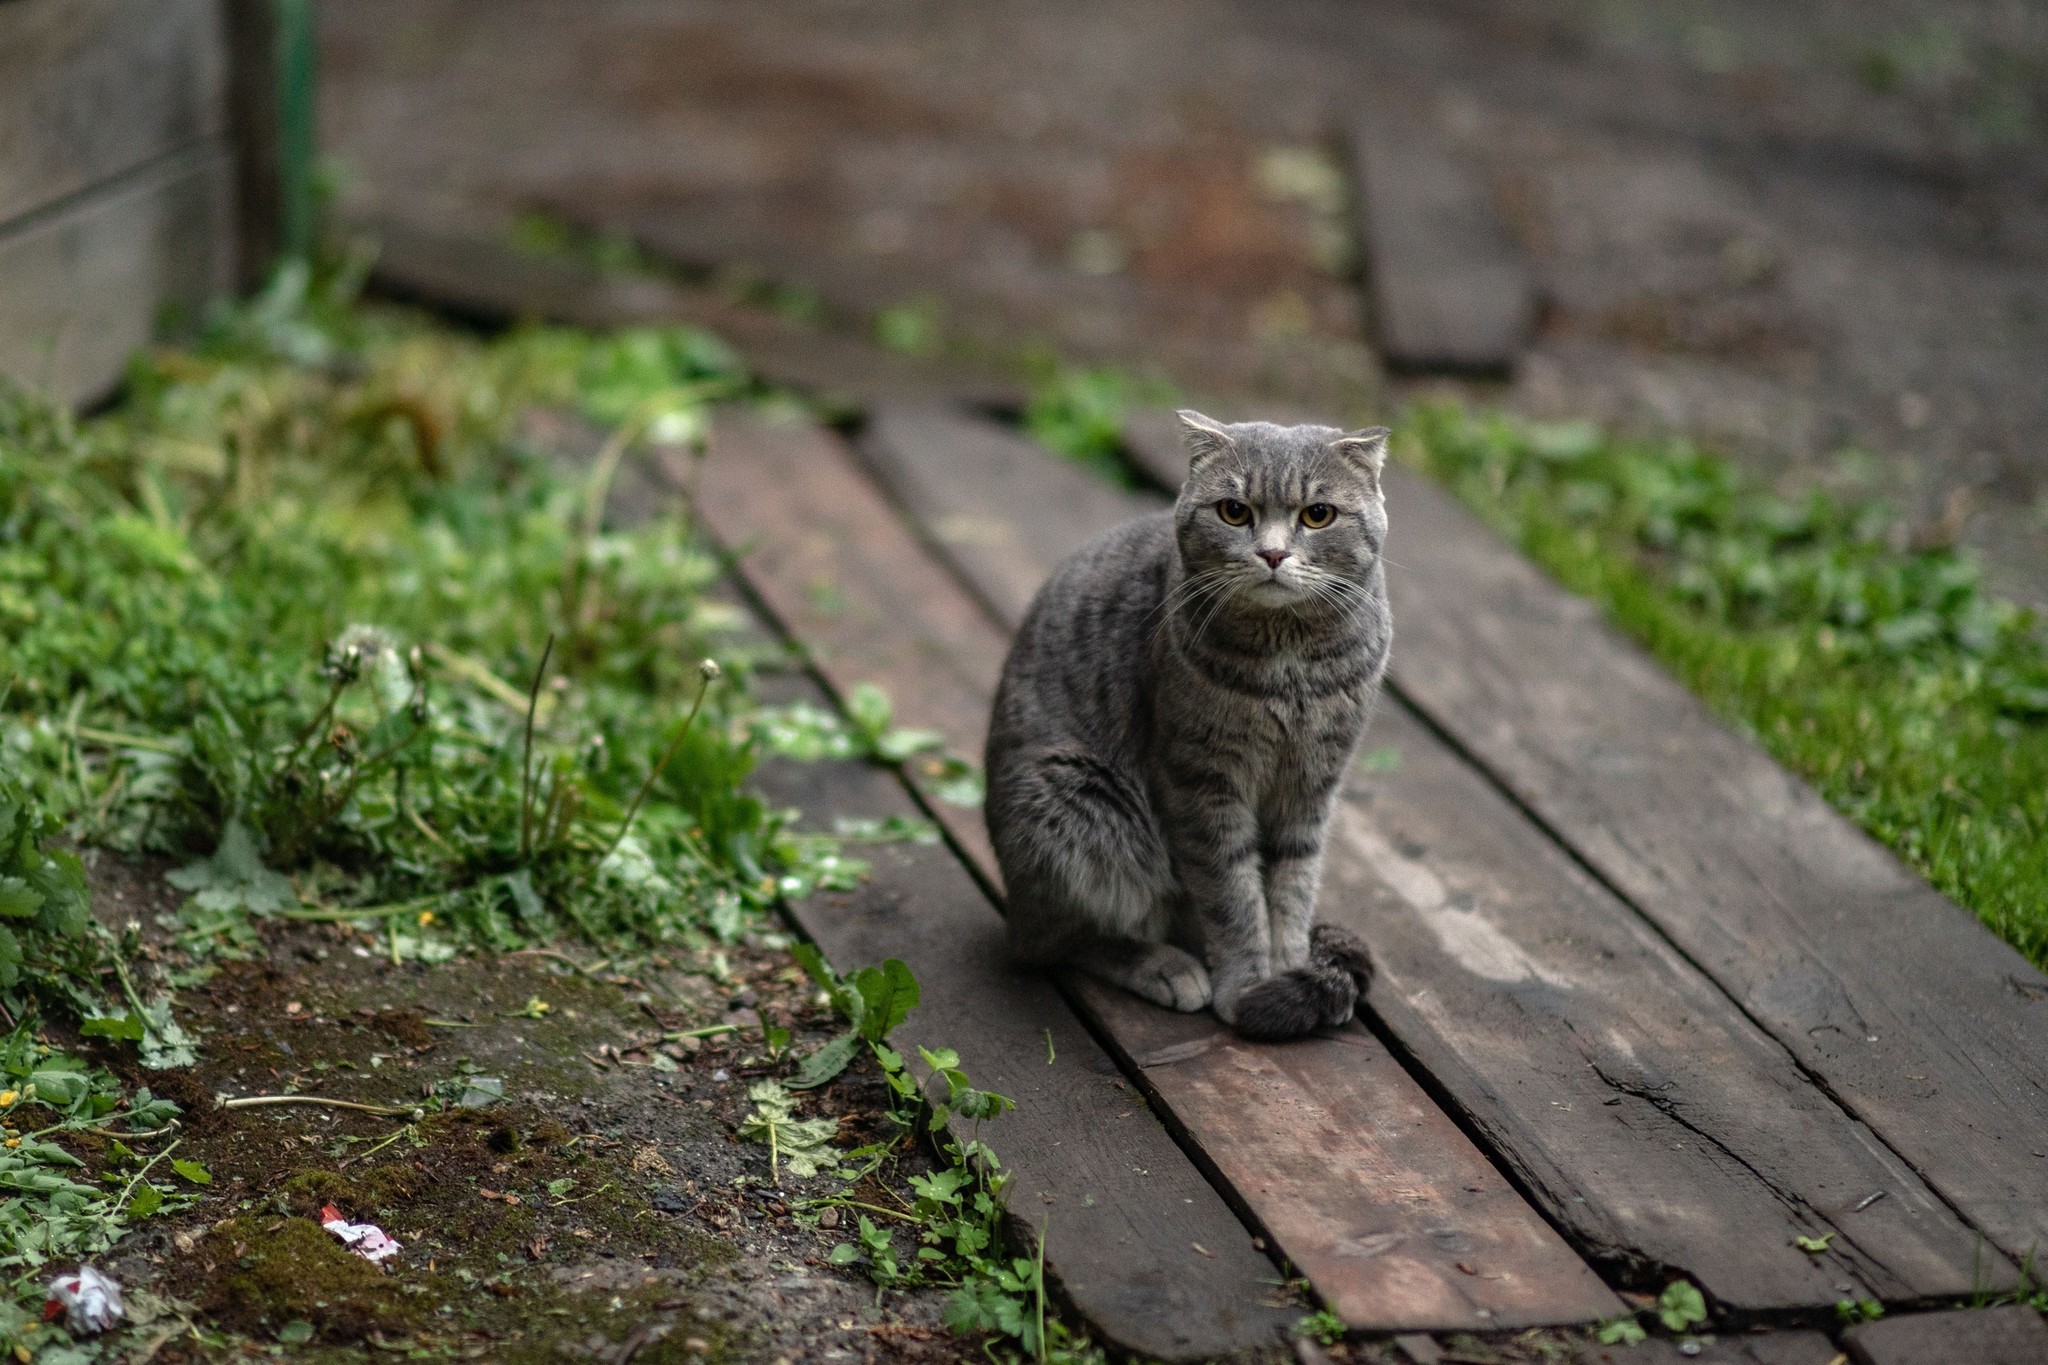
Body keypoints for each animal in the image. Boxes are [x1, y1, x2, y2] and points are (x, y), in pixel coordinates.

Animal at [987, 411, 1392, 1039]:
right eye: (1235, 511)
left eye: (1317, 514)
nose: (1273, 554)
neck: (1291, 666)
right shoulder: (1202, 781)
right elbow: (1232, 894)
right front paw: (1248, 984)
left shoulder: (1314, 783)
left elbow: (1293, 885)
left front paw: (1289, 966)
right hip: (1071, 805)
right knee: (1060, 941)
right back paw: (1165, 966)